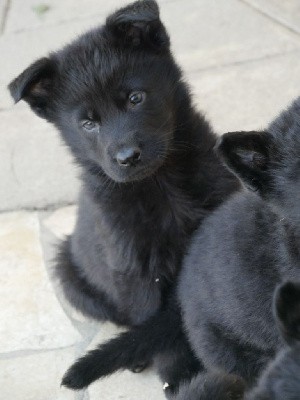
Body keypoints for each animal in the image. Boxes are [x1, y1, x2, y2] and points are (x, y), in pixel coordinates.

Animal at [8, 0, 239, 390]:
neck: (161, 184)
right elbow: (156, 327)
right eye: (88, 123)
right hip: (69, 276)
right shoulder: (137, 270)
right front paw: (177, 377)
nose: (127, 157)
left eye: (135, 98)